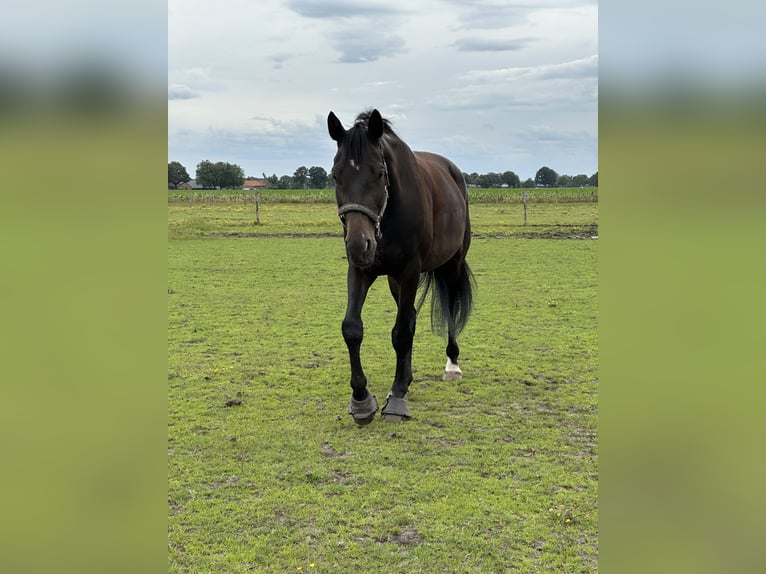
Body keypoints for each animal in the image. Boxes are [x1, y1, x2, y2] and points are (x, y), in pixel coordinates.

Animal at [328, 109, 476, 424]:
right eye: (335, 175)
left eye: (379, 173)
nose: (359, 244)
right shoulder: (361, 271)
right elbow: (352, 328)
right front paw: (362, 400)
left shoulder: (409, 272)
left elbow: (401, 334)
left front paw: (396, 399)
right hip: (394, 280)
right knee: (410, 318)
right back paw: (406, 379)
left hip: (452, 264)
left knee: (449, 308)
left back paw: (452, 365)